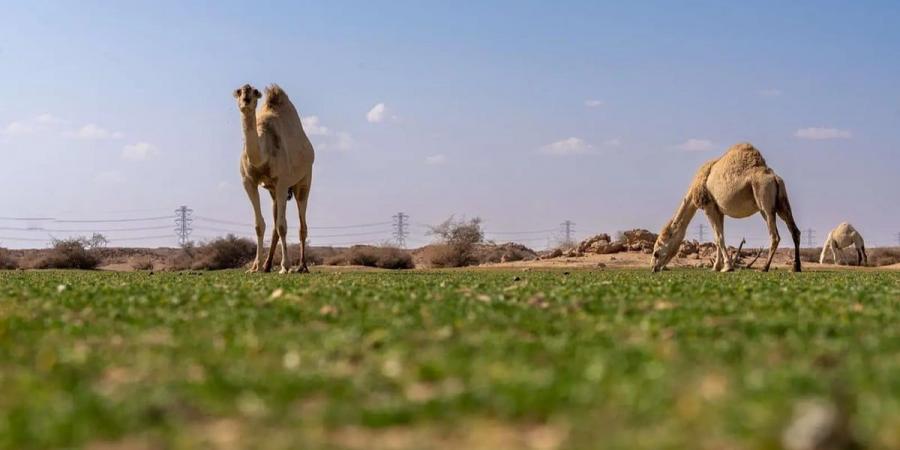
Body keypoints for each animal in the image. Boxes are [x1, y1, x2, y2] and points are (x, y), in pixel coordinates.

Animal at [236, 84, 316, 274]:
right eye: (239, 91)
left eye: (254, 92)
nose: (245, 100)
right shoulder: (248, 182)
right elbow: (260, 225)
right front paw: (255, 267)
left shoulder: (282, 182)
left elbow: (282, 226)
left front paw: (285, 267)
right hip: (273, 191)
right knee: (274, 224)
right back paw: (266, 265)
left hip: (304, 180)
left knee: (302, 225)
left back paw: (302, 266)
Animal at [652, 142, 804, 272]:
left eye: (656, 252)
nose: (653, 268)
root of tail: (774, 178)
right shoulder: (719, 210)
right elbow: (719, 236)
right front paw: (716, 267)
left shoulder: (708, 206)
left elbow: (718, 237)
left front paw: (726, 267)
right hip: (782, 201)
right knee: (794, 230)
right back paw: (796, 267)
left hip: (764, 200)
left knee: (775, 235)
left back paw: (764, 268)